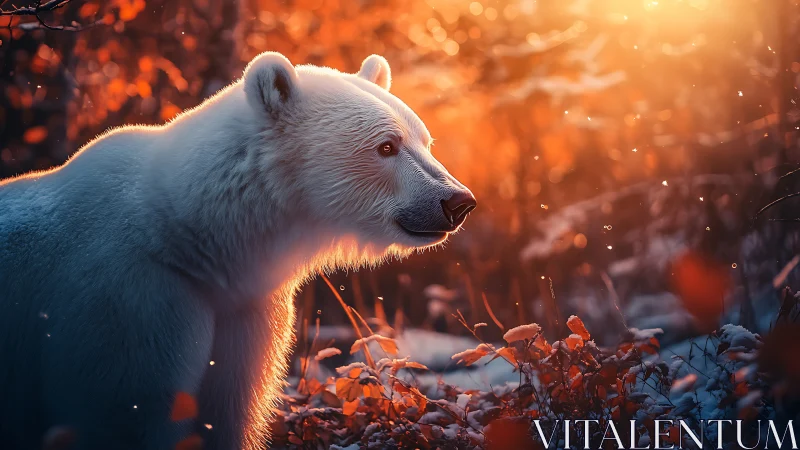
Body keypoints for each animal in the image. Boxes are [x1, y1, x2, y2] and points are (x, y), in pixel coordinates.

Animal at [0, 52, 476, 450]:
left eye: (425, 140)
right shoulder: (127, 302)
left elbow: (227, 408)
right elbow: (129, 410)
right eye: (386, 146)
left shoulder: (244, 310)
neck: (190, 237)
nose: (457, 201)